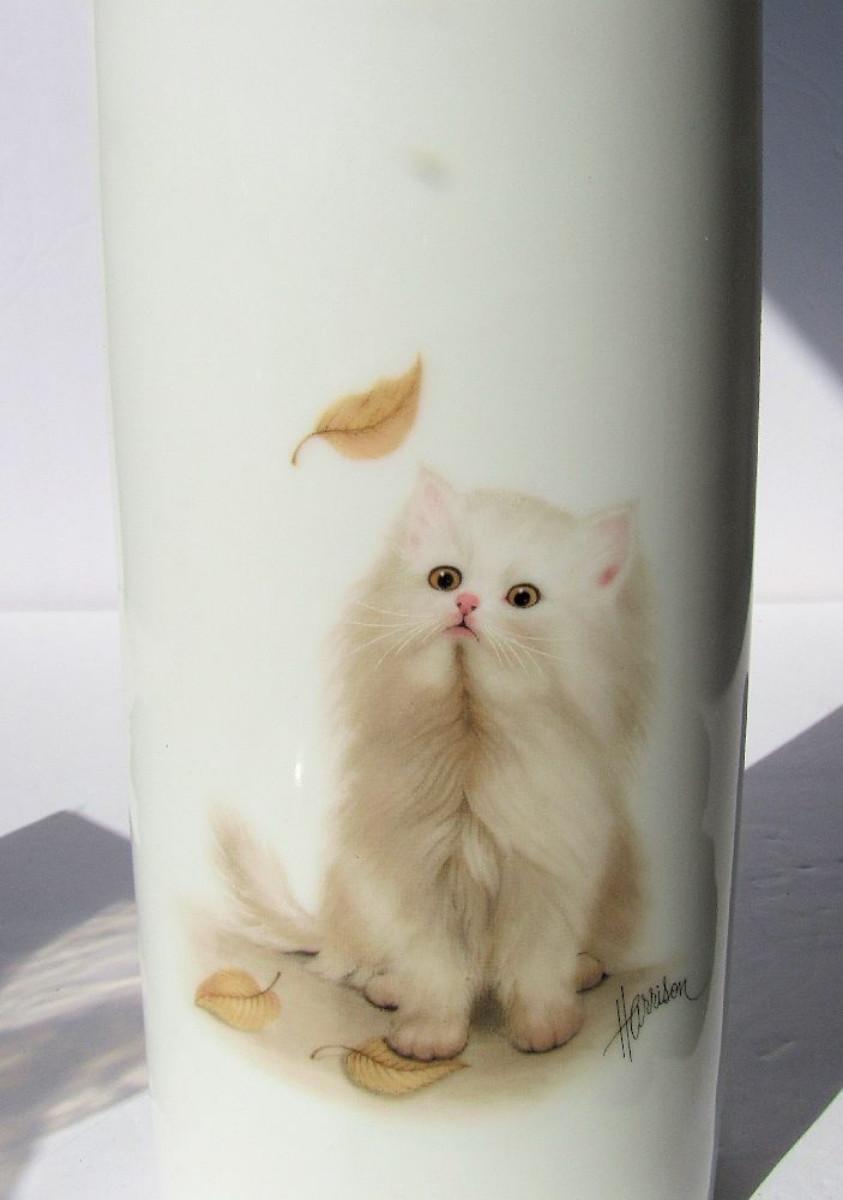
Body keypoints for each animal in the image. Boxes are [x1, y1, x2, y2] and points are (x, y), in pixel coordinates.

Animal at [218, 467, 653, 1061]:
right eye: (445, 579)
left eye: (523, 597)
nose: (465, 602)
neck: (471, 744)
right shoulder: (413, 879)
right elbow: (437, 971)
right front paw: (429, 1039)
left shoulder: (546, 879)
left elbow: (536, 968)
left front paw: (544, 1029)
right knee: (355, 962)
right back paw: (386, 987)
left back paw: (583, 970)